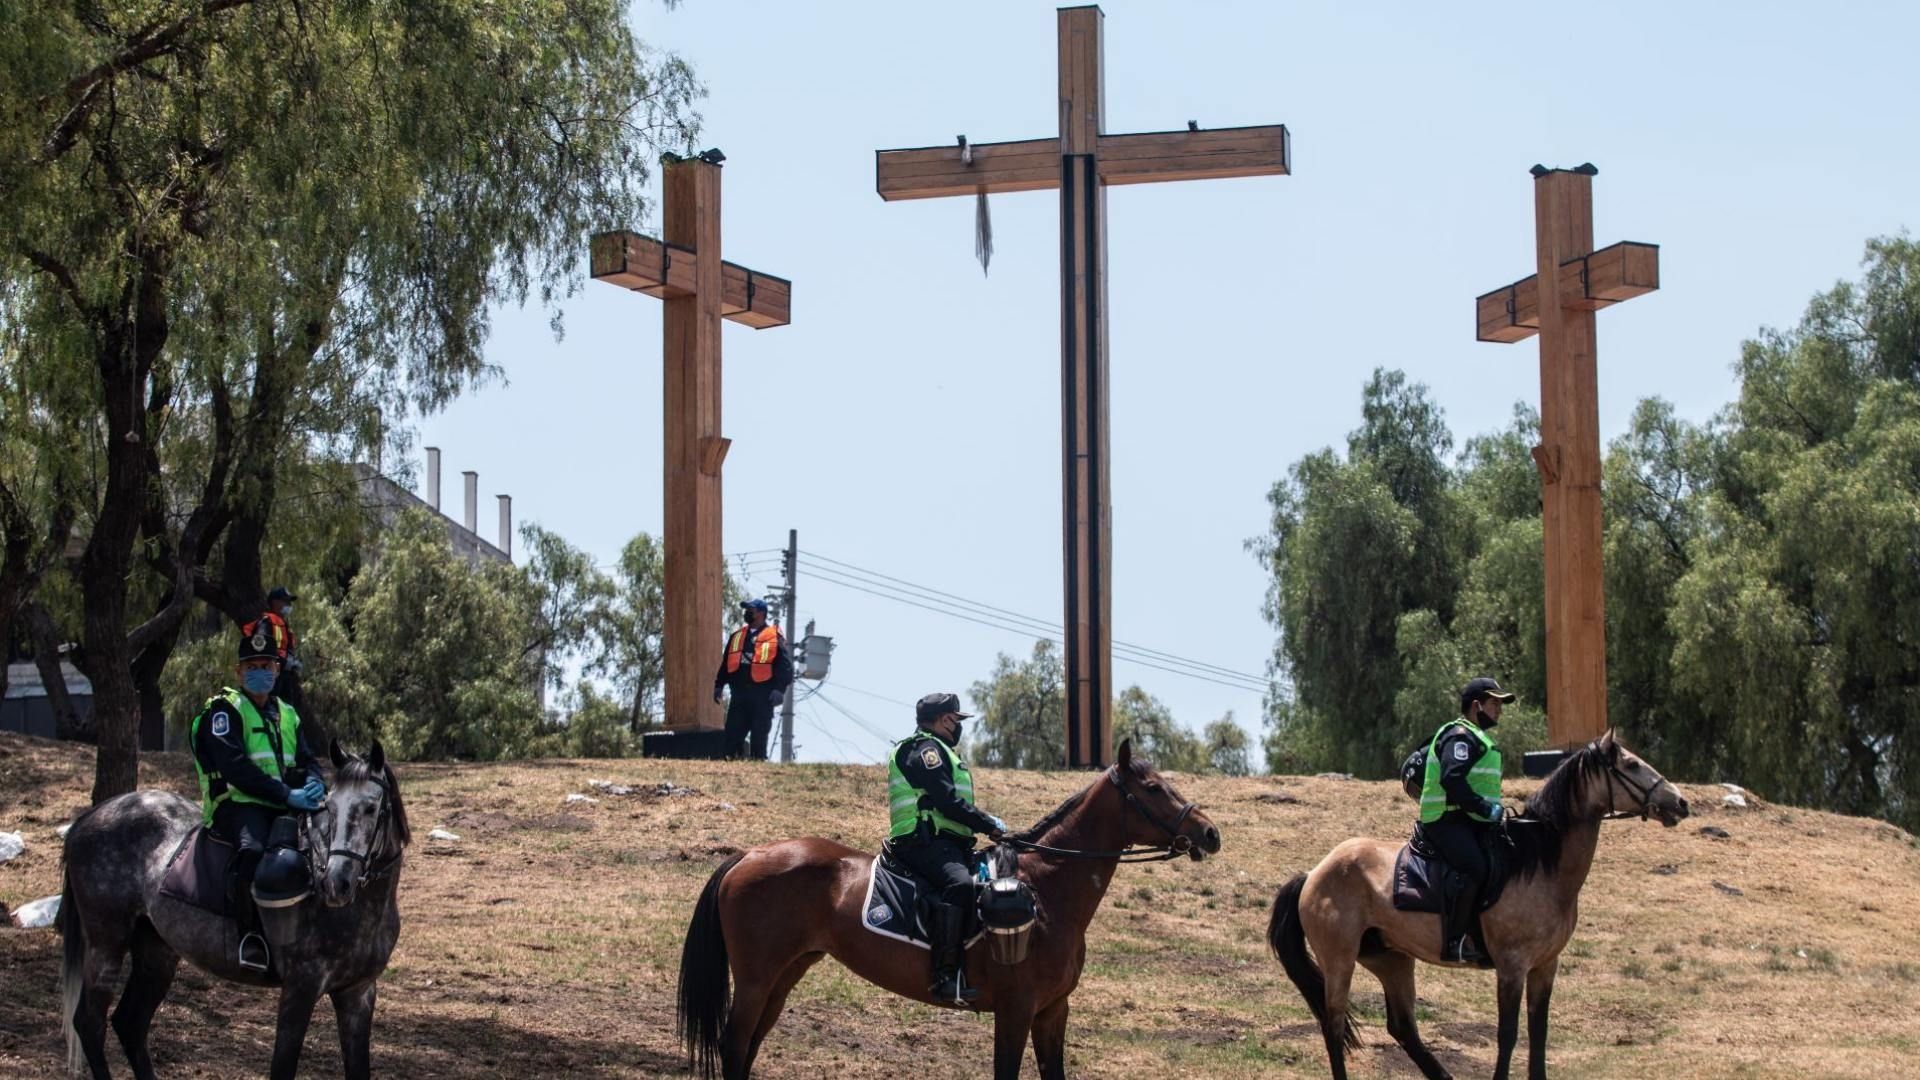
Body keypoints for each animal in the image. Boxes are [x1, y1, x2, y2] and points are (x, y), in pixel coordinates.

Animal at [57, 737, 408, 1076]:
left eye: (371, 808)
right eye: (330, 807)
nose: (336, 883)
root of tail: (89, 817)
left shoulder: (358, 993)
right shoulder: (300, 990)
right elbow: (283, 1067)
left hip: (156, 952)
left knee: (130, 1025)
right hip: (106, 945)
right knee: (90, 1024)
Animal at [675, 737, 1213, 1076]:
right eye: (1154, 789)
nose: (1210, 833)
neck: (1047, 889)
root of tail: (749, 854)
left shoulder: (1051, 1011)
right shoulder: (1016, 1010)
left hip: (784, 976)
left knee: (747, 1046)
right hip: (755, 979)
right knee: (733, 1045)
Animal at [1267, 730, 1689, 1076]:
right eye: (1631, 765)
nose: (1680, 803)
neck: (1537, 864)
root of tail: (1313, 874)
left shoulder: (1545, 966)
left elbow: (1538, 1035)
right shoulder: (1512, 967)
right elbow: (1509, 1034)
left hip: (1391, 959)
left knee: (1402, 1028)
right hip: (1340, 960)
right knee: (1334, 1024)